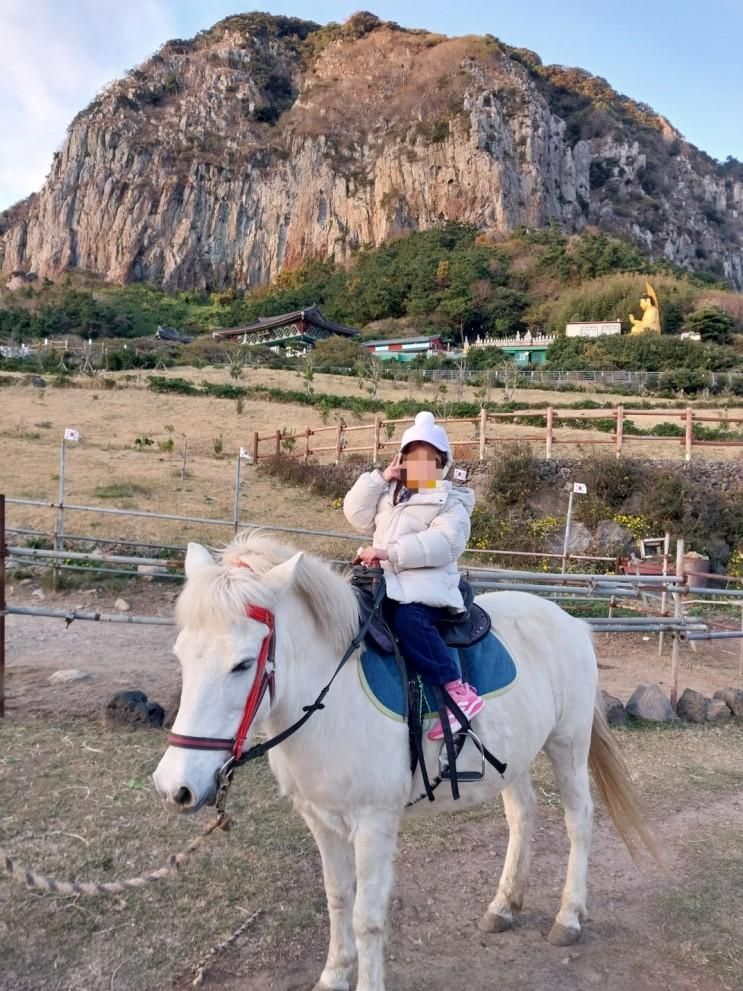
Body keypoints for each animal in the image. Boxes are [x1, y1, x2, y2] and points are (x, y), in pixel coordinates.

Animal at [154, 536, 652, 991]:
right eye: (179, 654)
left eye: (242, 665)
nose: (174, 786)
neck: (330, 701)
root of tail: (570, 622)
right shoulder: (320, 819)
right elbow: (338, 900)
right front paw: (333, 976)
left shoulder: (374, 822)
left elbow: (366, 918)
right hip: (513, 757)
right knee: (522, 816)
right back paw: (504, 906)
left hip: (568, 743)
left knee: (578, 820)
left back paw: (569, 917)